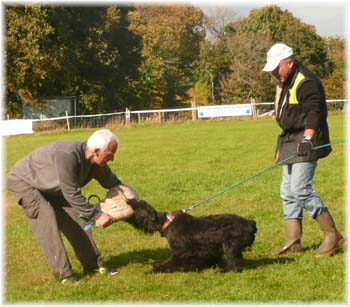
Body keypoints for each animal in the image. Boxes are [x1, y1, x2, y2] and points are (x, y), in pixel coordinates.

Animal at [124, 200, 256, 274]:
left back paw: (223, 271)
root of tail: (250, 224)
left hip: (229, 246)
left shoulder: (181, 252)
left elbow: (170, 262)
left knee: (236, 264)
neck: (166, 223)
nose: (128, 201)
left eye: (136, 209)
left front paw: (155, 269)